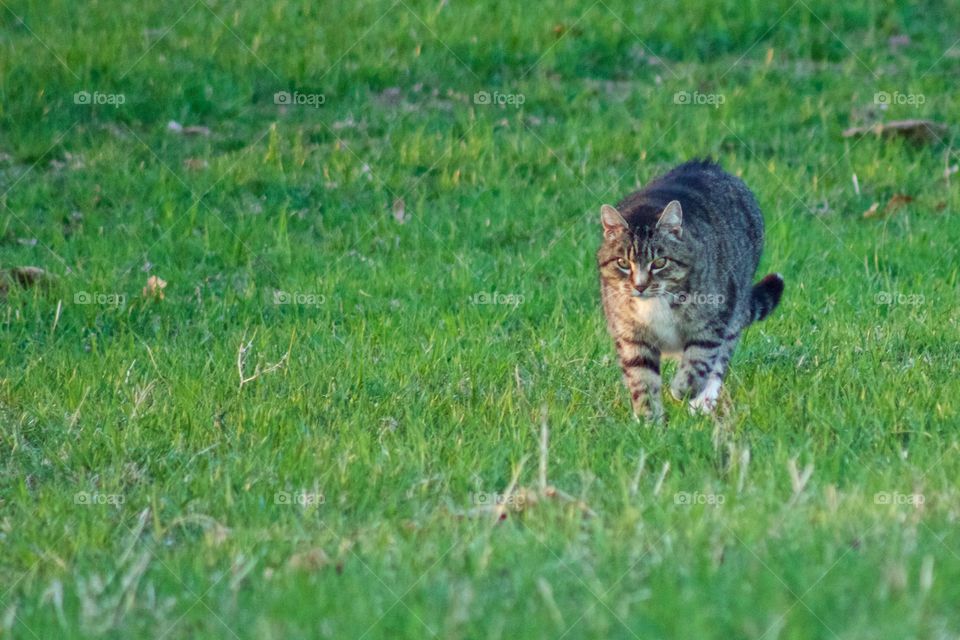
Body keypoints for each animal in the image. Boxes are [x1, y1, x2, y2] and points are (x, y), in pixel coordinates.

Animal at [596, 159, 784, 420]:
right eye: (623, 263)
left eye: (660, 262)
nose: (640, 285)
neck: (655, 301)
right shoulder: (631, 335)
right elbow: (642, 379)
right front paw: (648, 420)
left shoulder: (712, 322)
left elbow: (699, 360)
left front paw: (682, 389)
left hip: (734, 311)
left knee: (719, 362)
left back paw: (703, 402)